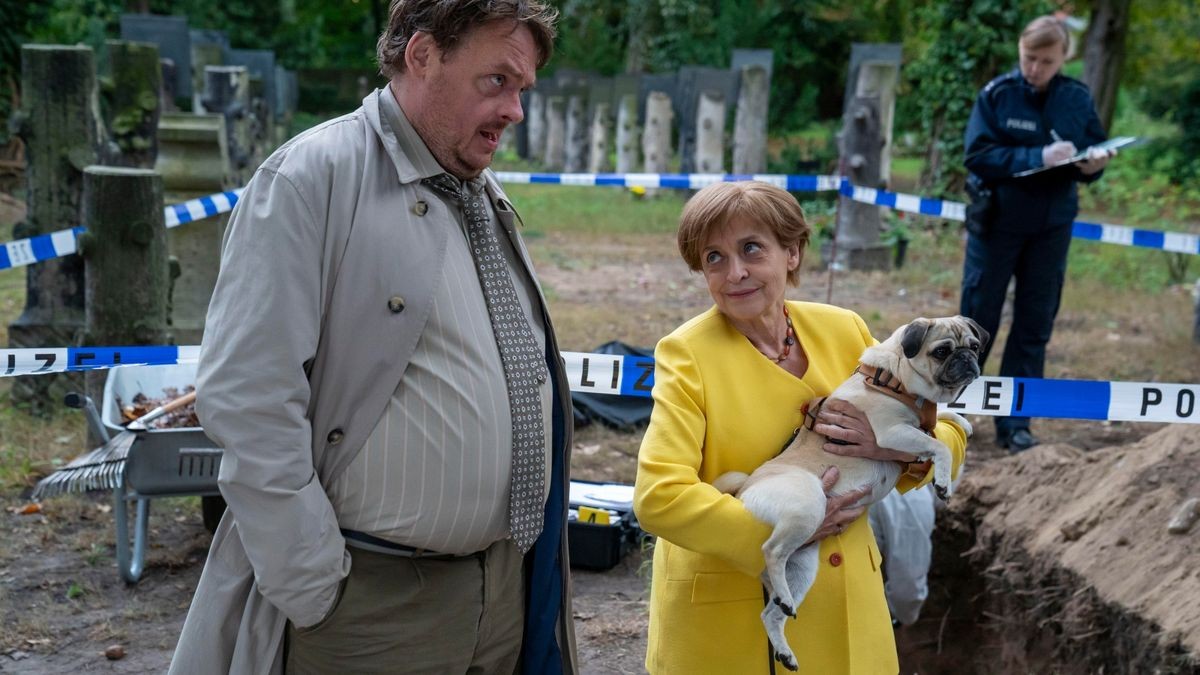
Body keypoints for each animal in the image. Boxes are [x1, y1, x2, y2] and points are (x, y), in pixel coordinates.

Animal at [710, 314, 984, 667]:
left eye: (974, 346)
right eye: (942, 351)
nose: (966, 359)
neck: (894, 377)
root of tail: (747, 486)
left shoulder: (916, 424)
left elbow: (937, 424)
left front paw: (961, 422)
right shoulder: (891, 433)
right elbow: (938, 445)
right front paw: (942, 481)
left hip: (803, 565)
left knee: (770, 613)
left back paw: (784, 643)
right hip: (808, 506)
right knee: (771, 550)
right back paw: (782, 597)